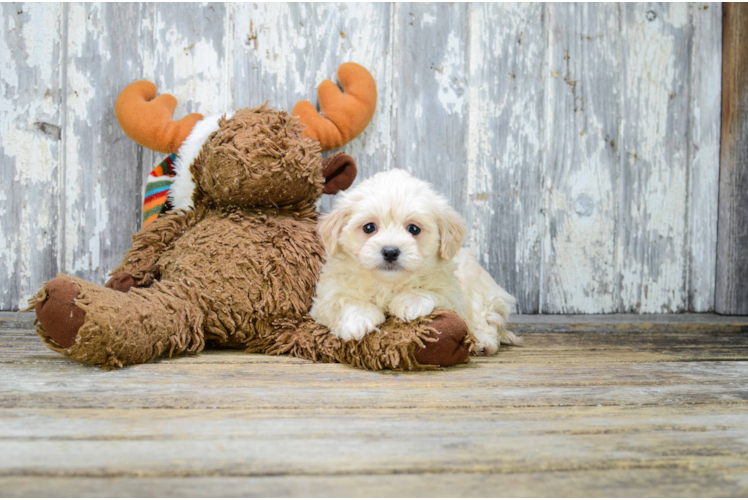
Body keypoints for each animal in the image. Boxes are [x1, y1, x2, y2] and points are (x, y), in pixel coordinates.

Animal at [312, 169, 520, 356]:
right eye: (369, 227)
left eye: (414, 229)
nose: (390, 251)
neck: (388, 283)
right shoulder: (325, 297)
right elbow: (341, 300)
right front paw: (359, 318)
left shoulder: (453, 294)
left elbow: (435, 291)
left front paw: (410, 302)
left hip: (480, 290)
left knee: (484, 320)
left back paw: (483, 342)